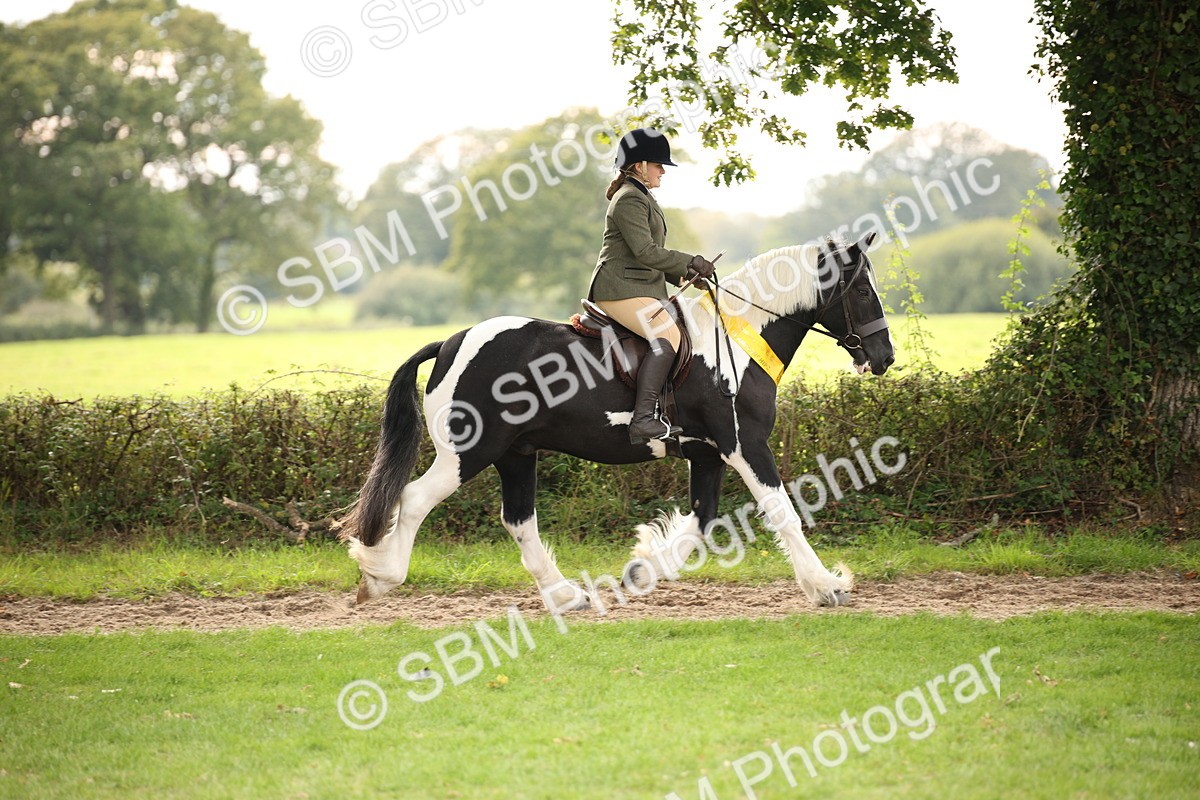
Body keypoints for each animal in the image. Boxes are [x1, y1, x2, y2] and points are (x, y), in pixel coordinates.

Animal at [341, 232, 895, 612]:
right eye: (864, 292)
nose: (884, 357)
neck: (737, 341)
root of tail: (452, 343)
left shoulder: (707, 454)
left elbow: (701, 521)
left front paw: (642, 569)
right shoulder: (744, 446)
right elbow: (782, 511)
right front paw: (827, 586)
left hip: (516, 454)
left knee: (519, 521)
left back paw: (566, 596)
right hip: (469, 452)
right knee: (414, 499)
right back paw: (380, 576)